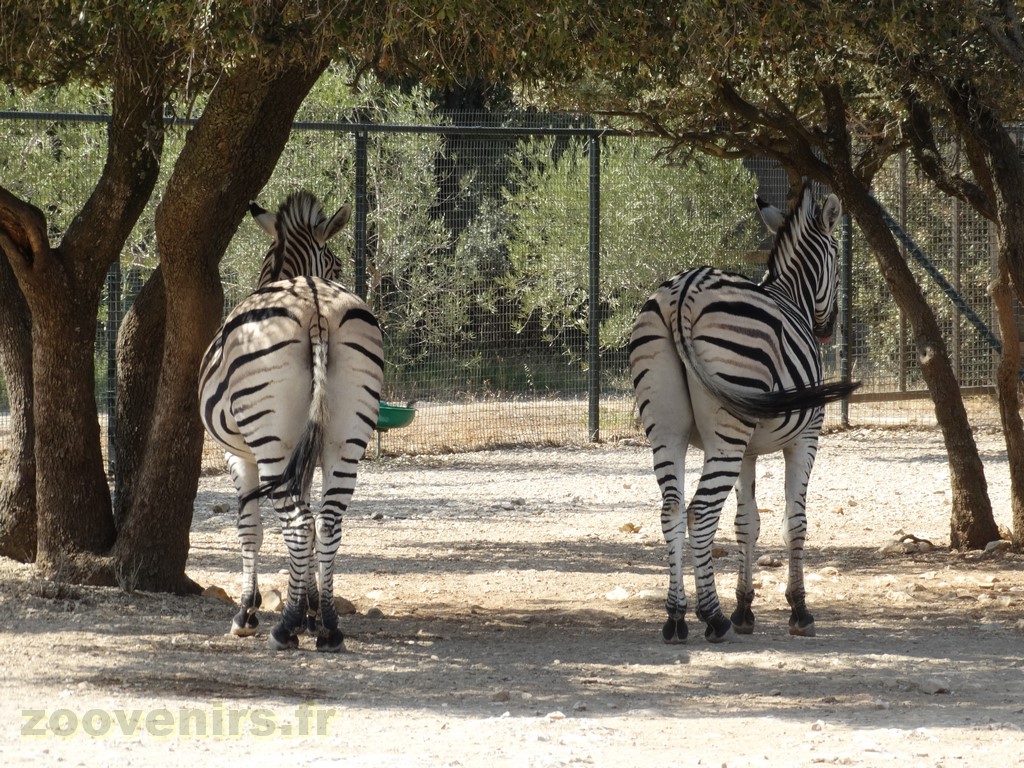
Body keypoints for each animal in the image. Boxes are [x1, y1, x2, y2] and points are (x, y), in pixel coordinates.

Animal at [198, 191, 384, 652]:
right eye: (338, 265)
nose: (337, 274)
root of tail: (314, 301)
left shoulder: (238, 456)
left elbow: (250, 527)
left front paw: (248, 612)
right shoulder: (310, 454)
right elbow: (313, 522)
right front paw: (312, 611)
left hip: (271, 442)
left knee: (298, 523)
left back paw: (285, 628)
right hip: (345, 439)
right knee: (328, 522)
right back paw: (329, 626)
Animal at [628, 182, 858, 644]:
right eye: (837, 265)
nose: (827, 329)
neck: (791, 296)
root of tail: (684, 290)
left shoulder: (749, 450)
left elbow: (746, 522)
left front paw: (745, 608)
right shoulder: (806, 439)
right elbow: (794, 521)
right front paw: (798, 610)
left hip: (668, 428)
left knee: (671, 509)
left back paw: (676, 617)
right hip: (727, 434)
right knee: (699, 511)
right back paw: (711, 616)